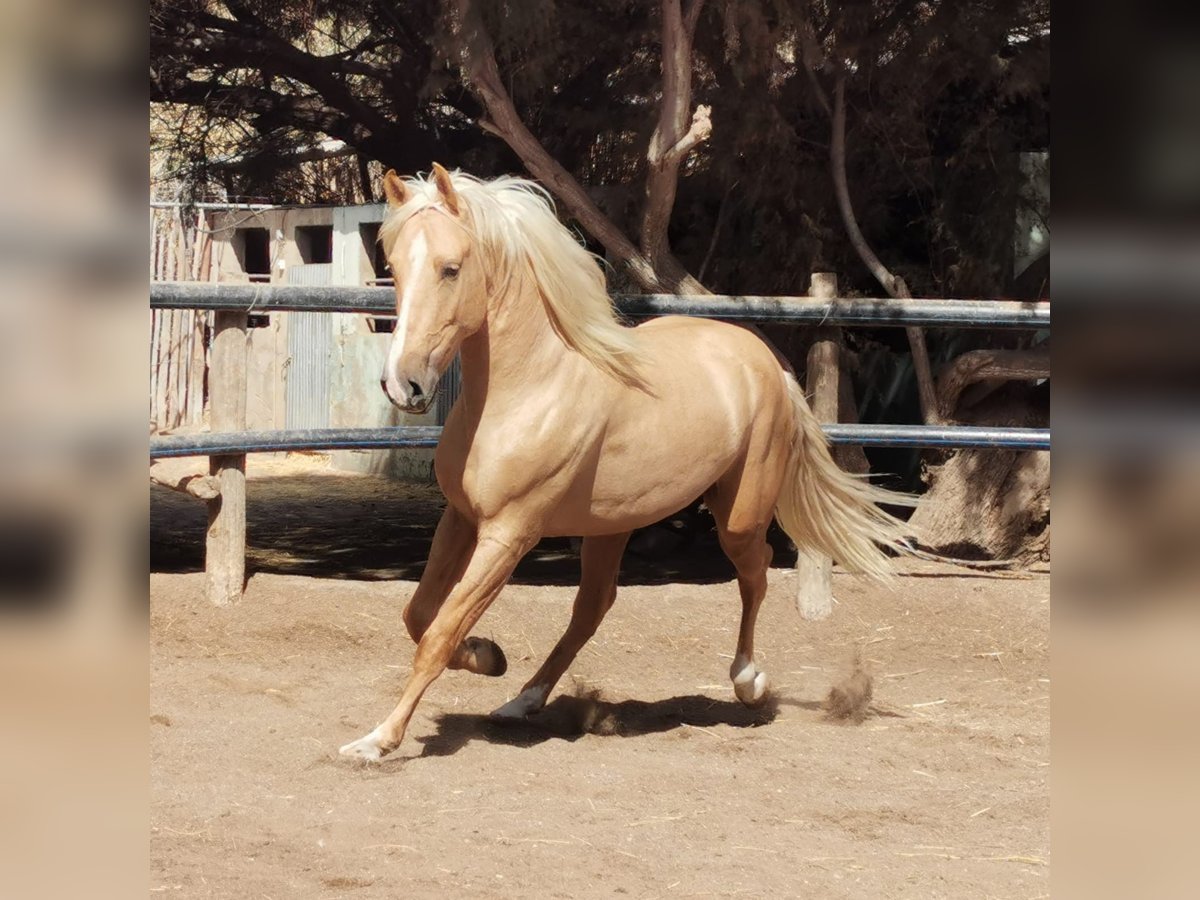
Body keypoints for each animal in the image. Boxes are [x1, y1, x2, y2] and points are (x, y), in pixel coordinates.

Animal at [339, 163, 912, 761]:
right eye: (394, 268)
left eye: (450, 269)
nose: (402, 386)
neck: (527, 389)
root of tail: (768, 364)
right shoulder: (462, 518)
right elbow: (419, 615)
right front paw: (488, 656)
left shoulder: (509, 533)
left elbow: (438, 633)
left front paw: (378, 740)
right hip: (611, 525)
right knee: (594, 606)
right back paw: (521, 700)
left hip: (738, 515)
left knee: (755, 572)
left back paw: (750, 683)